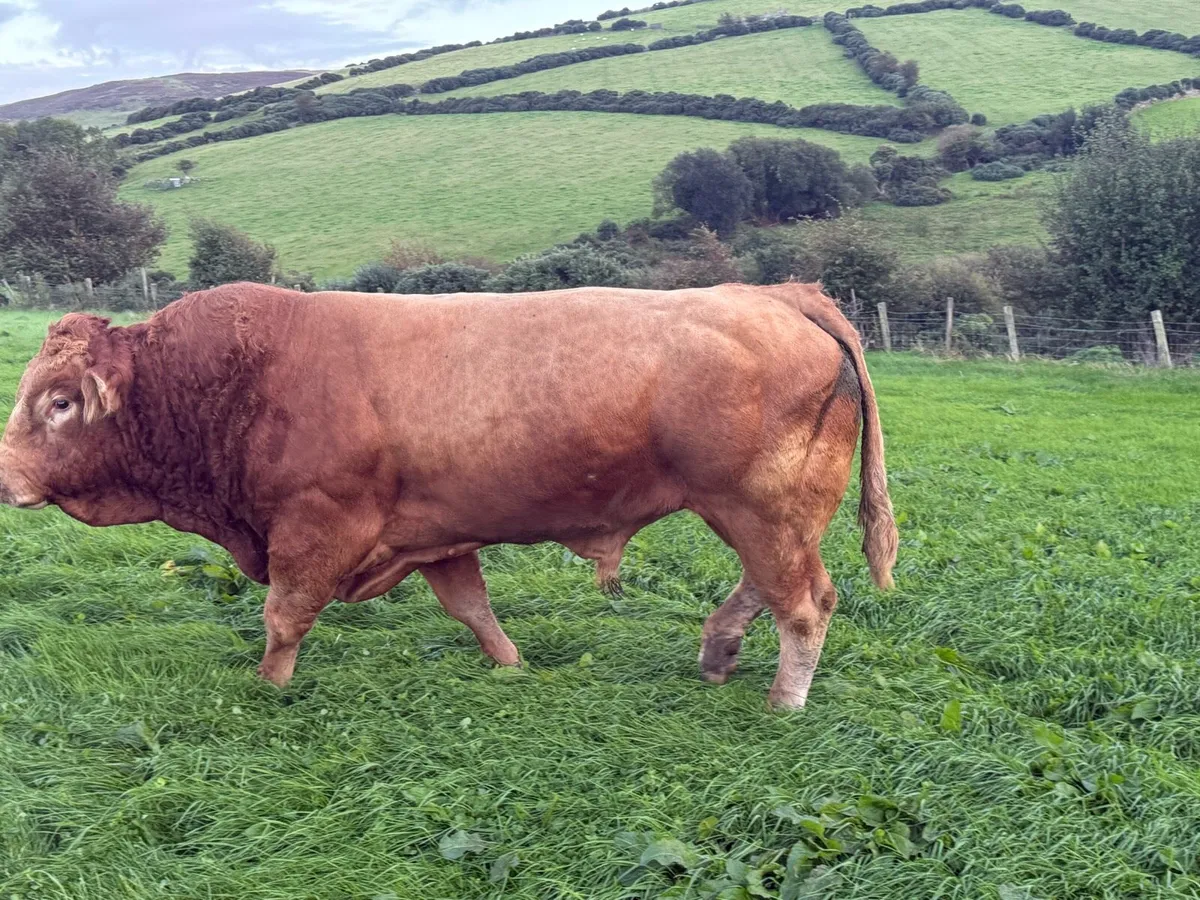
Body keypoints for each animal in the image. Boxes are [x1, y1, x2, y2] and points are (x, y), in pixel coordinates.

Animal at [0, 282, 896, 708]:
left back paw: (783, 701)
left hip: (761, 506)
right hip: (760, 512)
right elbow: (472, 608)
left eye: (60, 402)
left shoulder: (315, 527)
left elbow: (283, 615)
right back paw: (718, 647)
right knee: (772, 587)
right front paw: (513, 668)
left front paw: (268, 688)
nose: (6, 478)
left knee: (805, 602)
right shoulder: (436, 533)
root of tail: (777, 292)